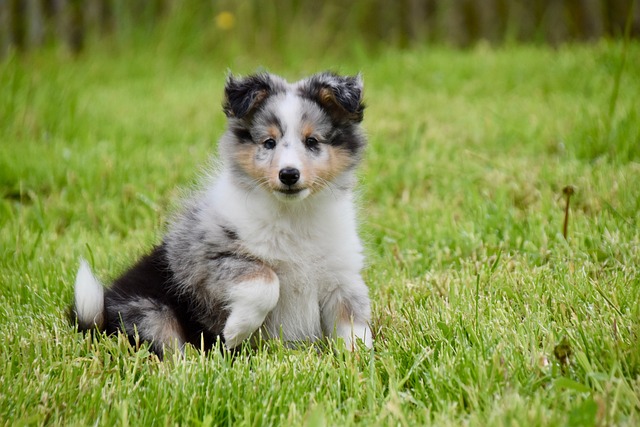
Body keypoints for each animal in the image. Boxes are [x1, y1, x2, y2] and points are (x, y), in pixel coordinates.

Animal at [70, 72, 372, 358]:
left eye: (312, 141)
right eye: (269, 142)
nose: (288, 175)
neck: (293, 214)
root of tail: (101, 319)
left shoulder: (342, 277)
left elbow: (354, 323)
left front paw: (359, 360)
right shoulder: (208, 258)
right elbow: (266, 280)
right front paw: (236, 331)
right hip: (148, 312)